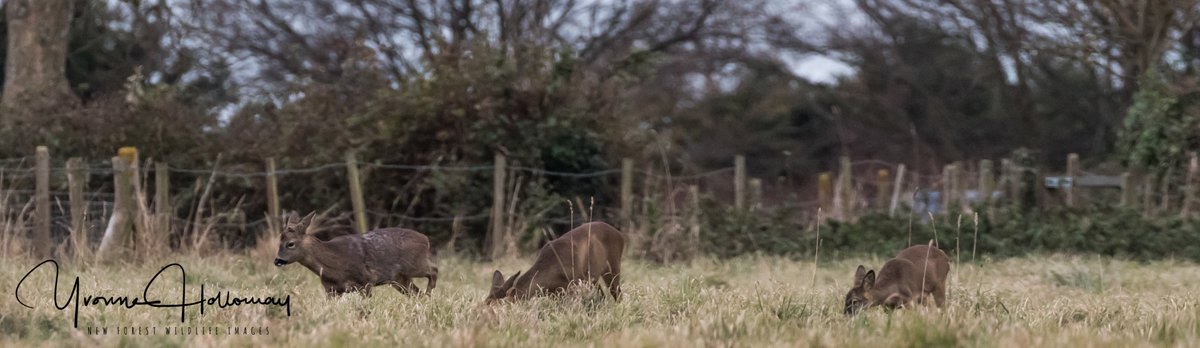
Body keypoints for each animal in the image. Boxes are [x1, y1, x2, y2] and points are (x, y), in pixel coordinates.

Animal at [274, 211, 439, 297]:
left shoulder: (366, 281)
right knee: (416, 292)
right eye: (279, 240)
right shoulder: (331, 290)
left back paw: (429, 293)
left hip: (414, 265)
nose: (277, 260)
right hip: (399, 279)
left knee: (434, 270)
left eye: (290, 243)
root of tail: (426, 239)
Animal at [484, 222, 624, 303]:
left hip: (613, 264)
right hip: (593, 276)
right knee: (603, 295)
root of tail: (620, 234)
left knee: (616, 293)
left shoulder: (575, 284)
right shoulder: (555, 293)